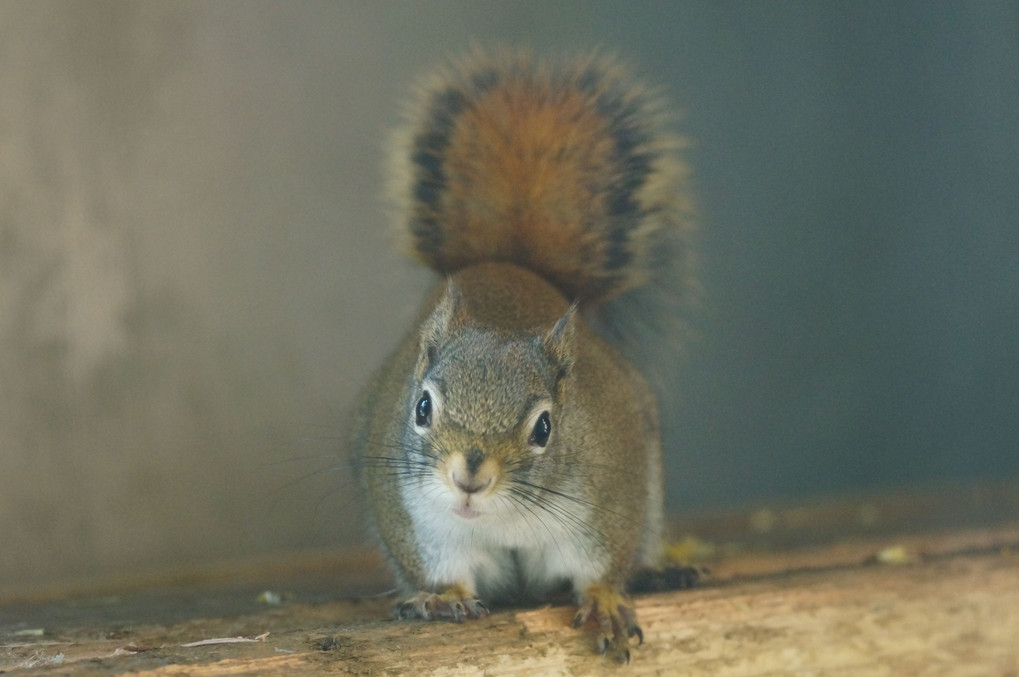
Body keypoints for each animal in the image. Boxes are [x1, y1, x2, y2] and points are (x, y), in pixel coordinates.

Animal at [348, 50, 692, 664]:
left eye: (545, 427)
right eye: (421, 408)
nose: (469, 477)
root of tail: (509, 264)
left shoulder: (611, 488)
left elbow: (602, 565)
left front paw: (605, 600)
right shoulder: (415, 520)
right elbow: (441, 568)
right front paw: (442, 597)